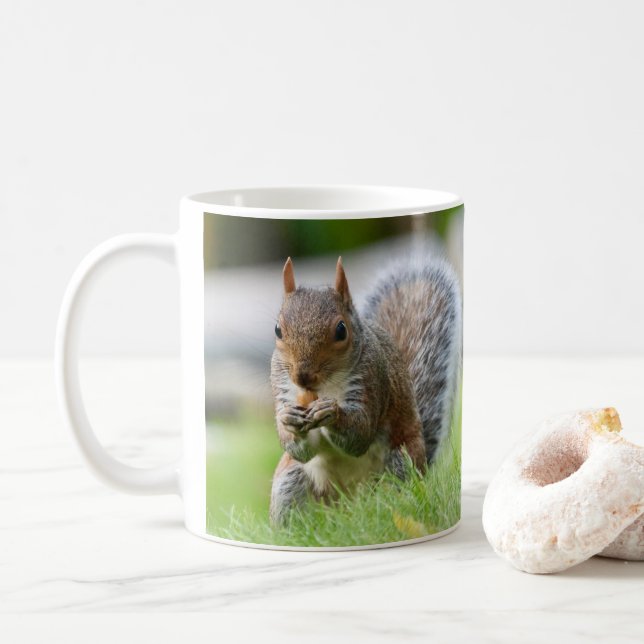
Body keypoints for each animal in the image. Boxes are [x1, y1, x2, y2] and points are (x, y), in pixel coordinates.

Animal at [269, 254, 461, 524]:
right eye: (278, 329)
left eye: (341, 330)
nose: (302, 377)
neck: (324, 388)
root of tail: (348, 506)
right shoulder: (282, 383)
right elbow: (299, 449)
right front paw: (288, 419)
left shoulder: (372, 380)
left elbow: (359, 434)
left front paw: (331, 413)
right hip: (290, 478)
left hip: (401, 463)